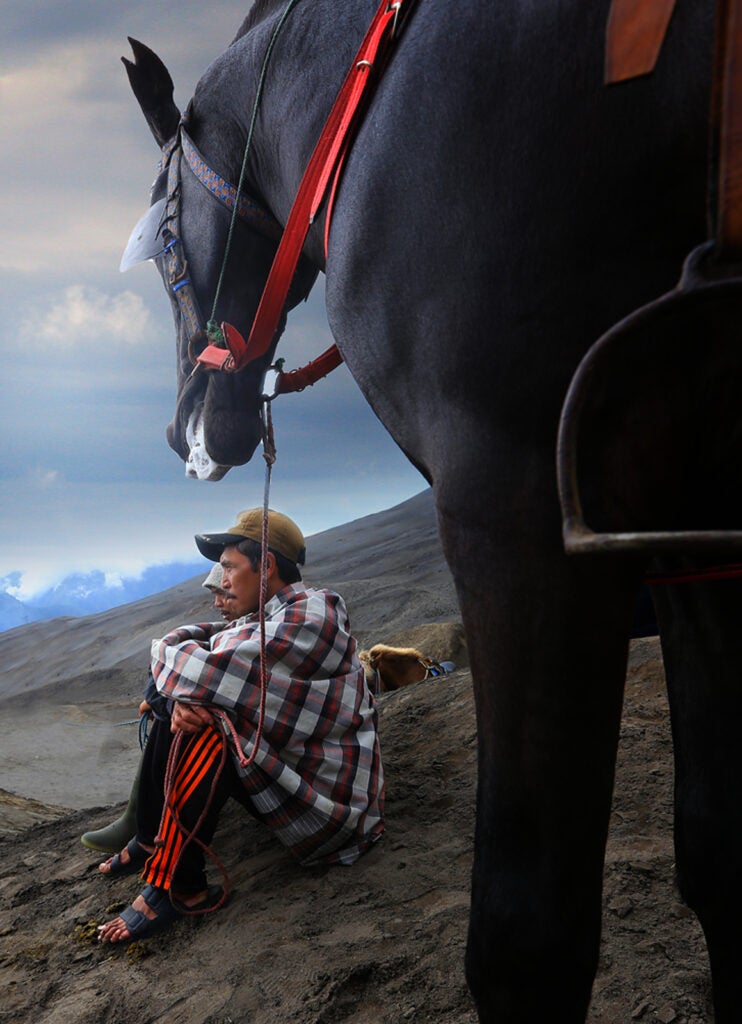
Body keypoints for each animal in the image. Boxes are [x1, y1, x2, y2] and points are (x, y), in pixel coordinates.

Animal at [118, 0, 740, 1019]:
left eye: (162, 244)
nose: (183, 435)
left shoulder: (514, 512)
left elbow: (528, 933)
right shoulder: (692, 527)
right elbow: (720, 848)